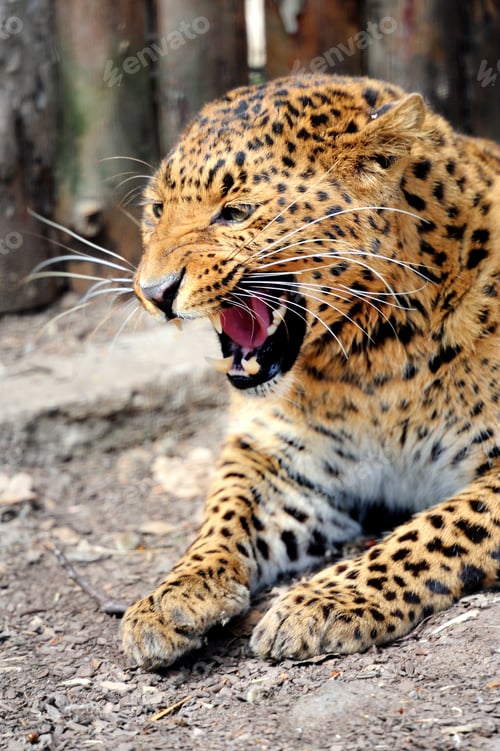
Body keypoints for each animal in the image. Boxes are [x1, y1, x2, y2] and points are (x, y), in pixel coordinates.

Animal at [121, 74, 500, 670]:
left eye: (236, 211)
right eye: (157, 208)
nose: (154, 292)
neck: (373, 365)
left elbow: (433, 531)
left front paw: (322, 602)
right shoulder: (285, 462)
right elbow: (225, 510)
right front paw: (172, 594)